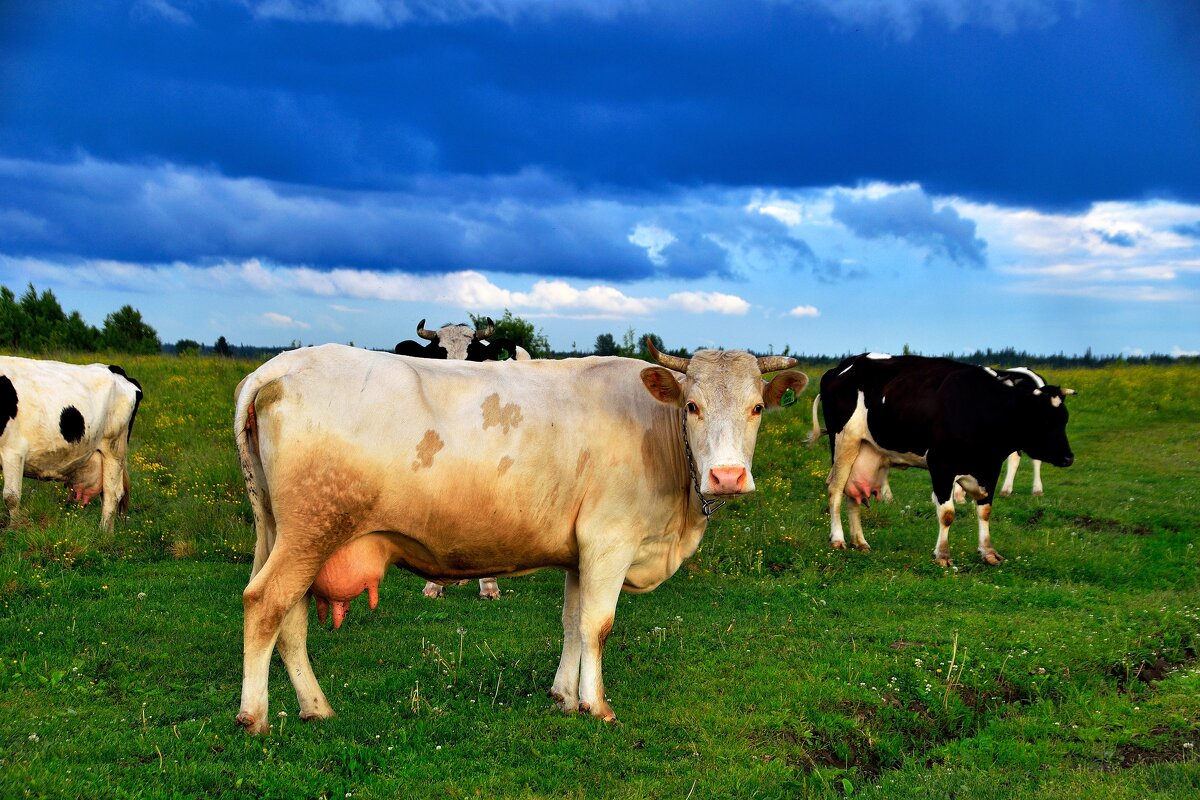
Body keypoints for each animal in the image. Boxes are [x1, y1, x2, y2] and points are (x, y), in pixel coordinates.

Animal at [0, 357, 144, 532]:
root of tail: (116, 370)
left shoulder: (13, 450)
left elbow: (11, 496)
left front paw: (13, 530)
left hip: (115, 449)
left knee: (112, 494)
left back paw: (103, 534)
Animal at [231, 340, 806, 734]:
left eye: (757, 407)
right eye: (692, 407)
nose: (727, 477)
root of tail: (279, 365)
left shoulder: (579, 552)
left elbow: (572, 622)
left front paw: (564, 696)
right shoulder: (609, 542)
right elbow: (598, 625)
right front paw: (597, 706)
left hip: (284, 533)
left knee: (290, 619)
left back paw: (315, 707)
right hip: (311, 531)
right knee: (265, 604)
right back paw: (254, 715)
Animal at [811, 352, 1075, 566]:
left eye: (1064, 419)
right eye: (1043, 420)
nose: (1068, 457)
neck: (982, 408)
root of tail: (842, 366)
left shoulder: (989, 468)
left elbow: (985, 510)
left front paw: (988, 552)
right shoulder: (941, 465)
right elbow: (947, 513)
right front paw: (943, 555)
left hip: (865, 451)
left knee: (852, 494)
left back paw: (860, 541)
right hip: (844, 441)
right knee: (835, 489)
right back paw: (838, 539)